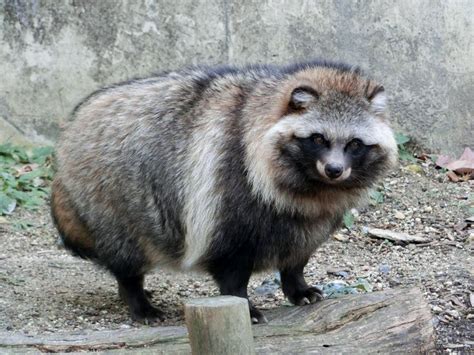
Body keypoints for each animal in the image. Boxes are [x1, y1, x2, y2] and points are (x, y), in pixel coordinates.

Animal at [51, 62, 396, 326]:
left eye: (354, 144)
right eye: (319, 139)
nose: (335, 170)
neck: (311, 185)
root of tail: (72, 125)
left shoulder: (313, 215)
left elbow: (299, 250)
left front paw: (296, 283)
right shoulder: (227, 192)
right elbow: (230, 264)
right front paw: (244, 302)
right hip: (110, 197)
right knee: (127, 253)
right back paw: (135, 294)